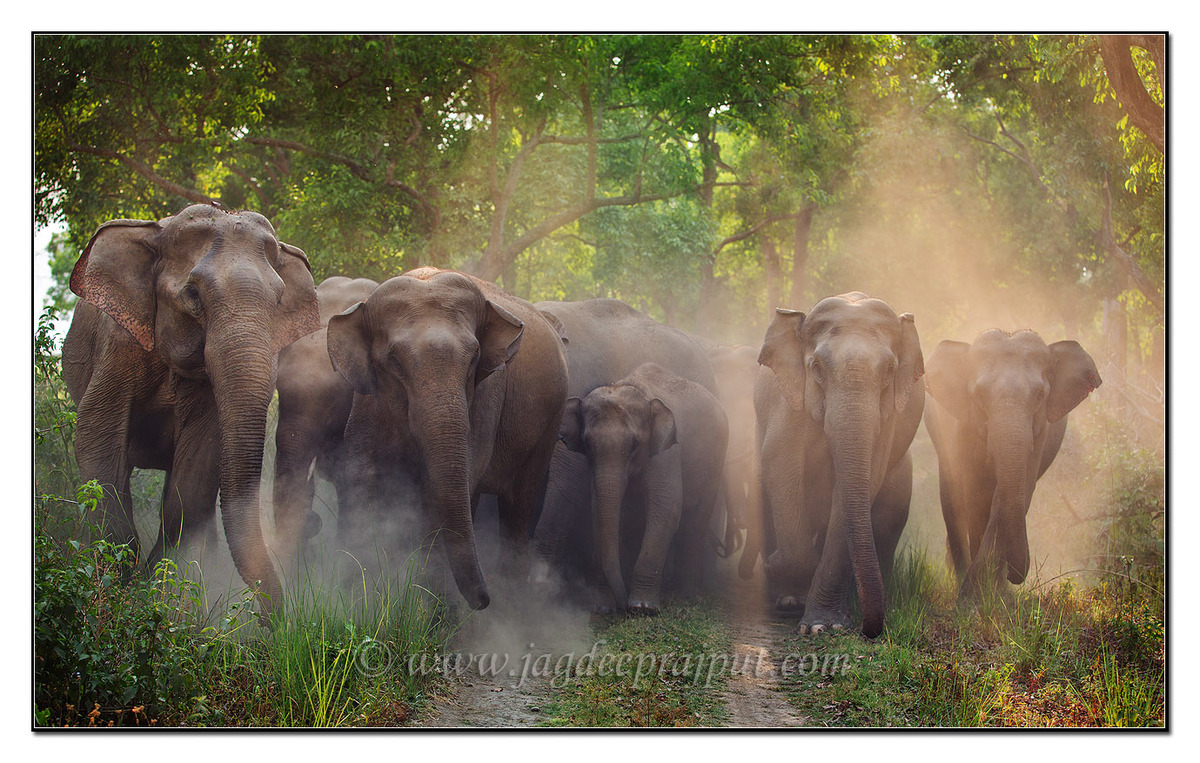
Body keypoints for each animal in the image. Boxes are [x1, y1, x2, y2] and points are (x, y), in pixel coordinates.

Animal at [61, 204, 320, 619]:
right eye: (193, 294)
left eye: (279, 301)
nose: (277, 624)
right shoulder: (117, 344)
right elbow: (97, 434)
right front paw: (118, 586)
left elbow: (198, 463)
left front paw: (158, 585)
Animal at [326, 268, 568, 610]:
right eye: (393, 361)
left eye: (475, 357)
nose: (484, 601)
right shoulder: (366, 403)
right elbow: (363, 476)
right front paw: (358, 597)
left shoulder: (486, 397)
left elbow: (450, 487)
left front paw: (427, 605)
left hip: (549, 423)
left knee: (519, 503)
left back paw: (512, 600)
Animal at [558, 363, 728, 614]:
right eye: (587, 444)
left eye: (634, 445)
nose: (622, 607)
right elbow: (598, 509)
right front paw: (603, 607)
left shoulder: (667, 452)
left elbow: (667, 507)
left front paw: (642, 607)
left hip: (715, 460)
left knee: (696, 521)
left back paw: (688, 595)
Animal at [748, 292, 924, 638]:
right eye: (816, 368)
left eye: (889, 371)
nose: (871, 631)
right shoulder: (787, 399)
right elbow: (781, 465)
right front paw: (790, 594)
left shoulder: (888, 417)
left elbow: (867, 480)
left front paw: (823, 626)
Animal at [923, 330, 1101, 595]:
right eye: (978, 395)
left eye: (1040, 395)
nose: (1015, 576)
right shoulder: (962, 427)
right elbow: (975, 492)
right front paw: (974, 595)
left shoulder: (1040, 434)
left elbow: (1016, 489)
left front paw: (992, 591)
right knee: (952, 496)